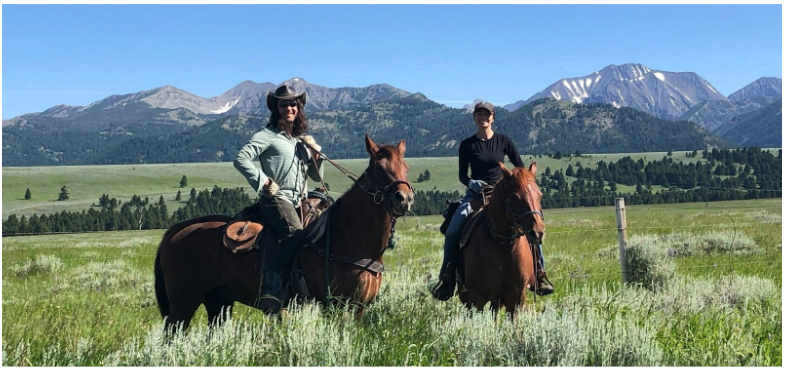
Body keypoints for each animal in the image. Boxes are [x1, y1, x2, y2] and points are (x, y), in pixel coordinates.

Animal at [158, 135, 416, 332]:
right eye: (378, 168)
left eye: (406, 168)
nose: (404, 199)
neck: (344, 238)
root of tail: (177, 230)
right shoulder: (334, 306)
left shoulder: (359, 309)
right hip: (183, 303)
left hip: (219, 301)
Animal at [460, 163, 544, 320]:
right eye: (515, 197)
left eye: (540, 195)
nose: (537, 233)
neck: (503, 247)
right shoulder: (476, 300)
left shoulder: (515, 300)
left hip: (497, 300)